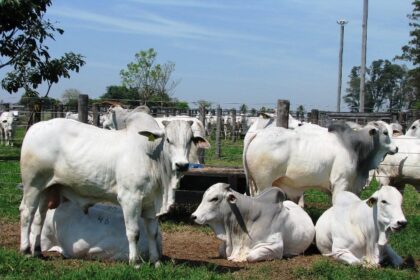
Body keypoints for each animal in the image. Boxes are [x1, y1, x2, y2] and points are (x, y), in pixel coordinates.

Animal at [20, 112, 194, 266]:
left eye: (191, 140)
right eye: (168, 140)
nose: (182, 165)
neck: (151, 155)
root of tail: (35, 127)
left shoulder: (151, 204)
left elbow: (153, 232)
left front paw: (156, 261)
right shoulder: (130, 199)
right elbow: (134, 232)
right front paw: (135, 262)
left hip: (47, 188)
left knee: (39, 217)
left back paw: (37, 251)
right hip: (32, 184)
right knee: (27, 212)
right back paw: (25, 250)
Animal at [243, 121, 398, 202]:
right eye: (385, 133)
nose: (396, 148)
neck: (355, 146)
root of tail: (259, 134)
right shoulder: (340, 183)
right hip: (264, 183)